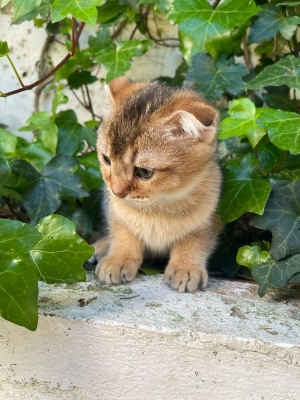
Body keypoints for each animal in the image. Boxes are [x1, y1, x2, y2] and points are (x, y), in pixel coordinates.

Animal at [94, 76, 223, 292]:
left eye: (144, 172)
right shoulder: (116, 211)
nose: (116, 191)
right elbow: (123, 233)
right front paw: (118, 258)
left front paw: (187, 267)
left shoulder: (210, 218)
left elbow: (195, 241)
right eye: (107, 160)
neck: (158, 208)